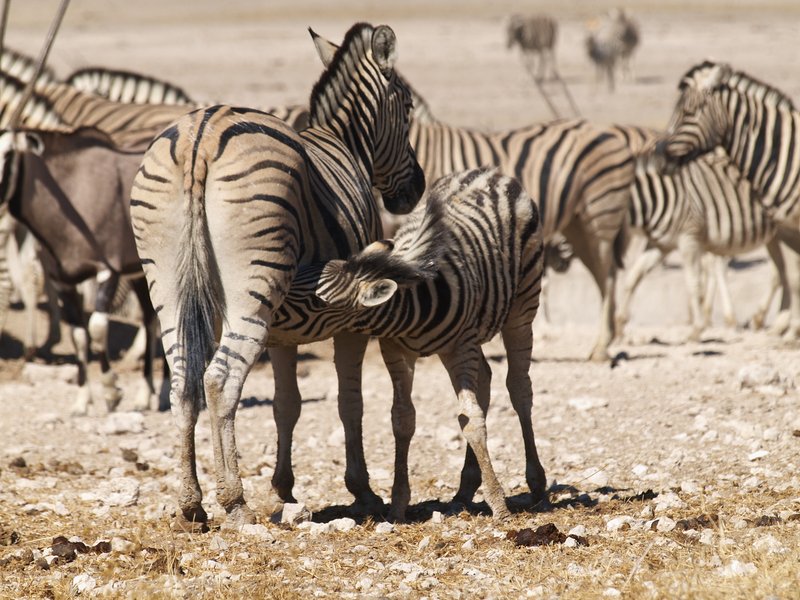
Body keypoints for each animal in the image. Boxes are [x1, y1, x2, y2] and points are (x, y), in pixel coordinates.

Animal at [130, 23, 425, 529]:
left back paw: (191, 503)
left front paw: (283, 487)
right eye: (405, 108)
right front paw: (362, 491)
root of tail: (200, 136)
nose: (417, 190)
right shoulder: (351, 319)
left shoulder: (284, 329)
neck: (344, 143)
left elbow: (287, 405)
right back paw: (234, 501)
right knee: (219, 380)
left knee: (184, 379)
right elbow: (349, 403)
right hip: (255, 285)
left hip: (167, 281)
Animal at [404, 75, 633, 361]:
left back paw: (602, 347)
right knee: (602, 275)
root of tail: (608, 130)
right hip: (577, 225)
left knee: (608, 276)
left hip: (599, 217)